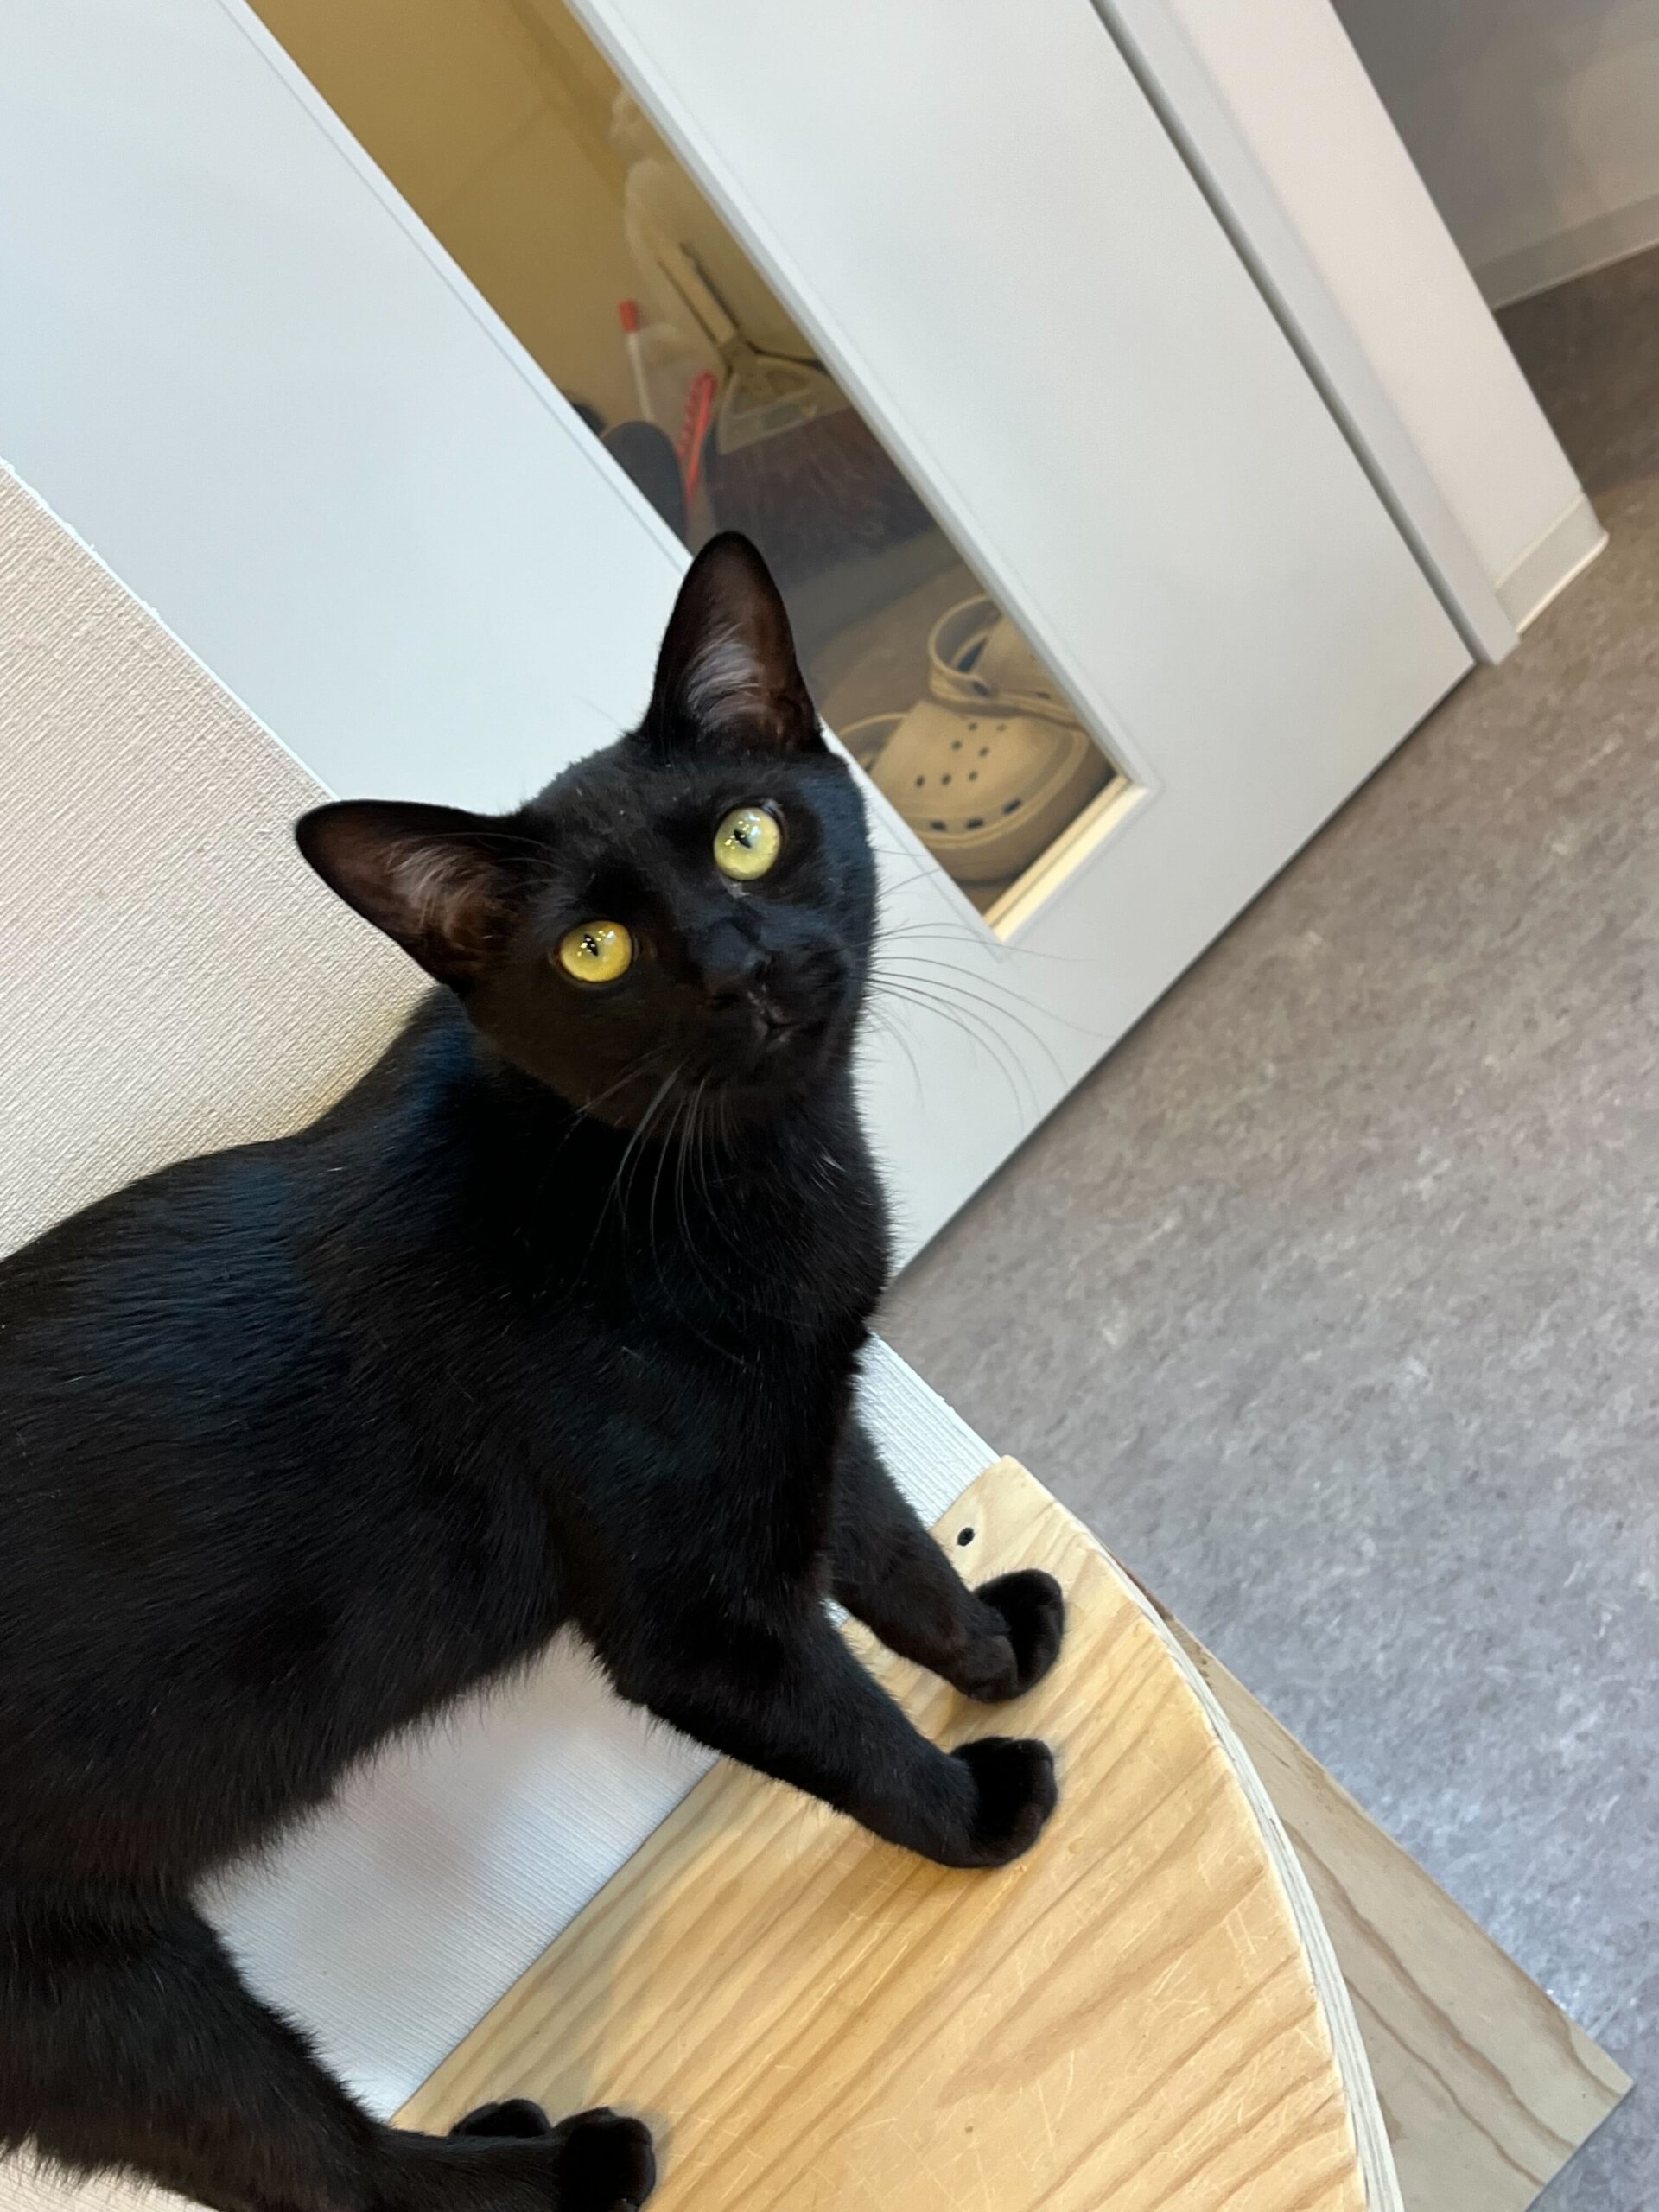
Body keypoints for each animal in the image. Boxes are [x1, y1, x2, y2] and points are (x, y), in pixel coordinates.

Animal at [0, 534, 1064, 2212]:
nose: (740, 968)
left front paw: (996, 1650)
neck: (720, 1188)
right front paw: (972, 1815)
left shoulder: (790, 1419)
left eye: (751, 836)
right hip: (83, 1982)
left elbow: (895, 1555)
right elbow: (854, 1736)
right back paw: (565, 2166)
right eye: (595, 949)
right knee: (314, 2168)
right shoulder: (691, 1619)